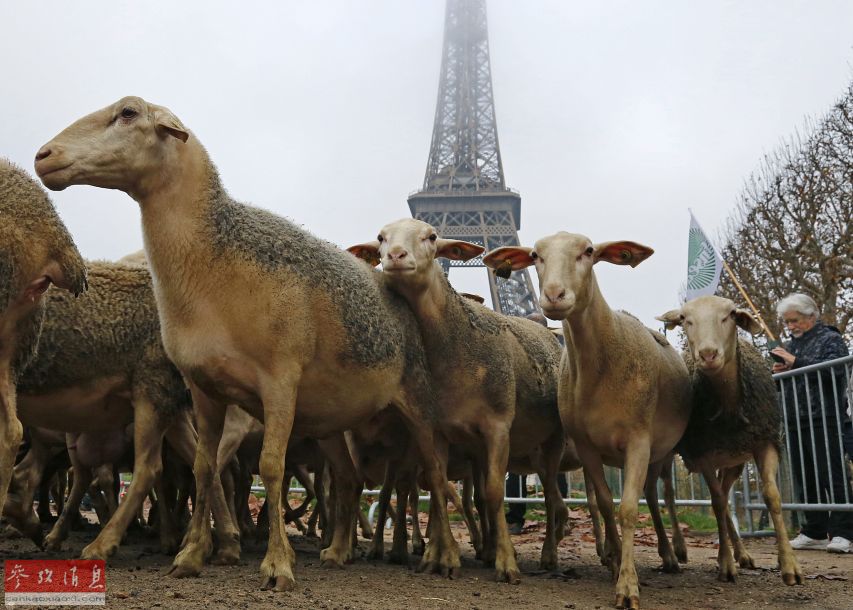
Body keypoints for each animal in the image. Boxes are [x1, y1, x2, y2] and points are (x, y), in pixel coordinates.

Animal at [34, 96, 459, 591]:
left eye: (128, 113)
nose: (44, 156)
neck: (215, 264)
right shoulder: (204, 388)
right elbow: (203, 467)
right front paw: (191, 555)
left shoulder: (280, 382)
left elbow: (272, 466)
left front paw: (277, 564)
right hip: (331, 420)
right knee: (349, 479)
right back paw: (338, 552)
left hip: (417, 404)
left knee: (436, 474)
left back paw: (444, 556)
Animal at [348, 218, 569, 582]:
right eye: (380, 238)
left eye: (432, 236)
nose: (395, 255)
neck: (455, 350)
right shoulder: (436, 431)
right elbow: (439, 487)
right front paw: (442, 557)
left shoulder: (498, 427)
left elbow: (494, 492)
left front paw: (505, 562)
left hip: (551, 442)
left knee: (551, 495)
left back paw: (548, 554)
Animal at [483, 233, 692, 610]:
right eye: (534, 256)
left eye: (589, 252)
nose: (554, 295)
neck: (601, 369)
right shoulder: (587, 448)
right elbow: (607, 505)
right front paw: (616, 561)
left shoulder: (638, 441)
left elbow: (628, 509)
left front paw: (627, 585)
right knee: (625, 500)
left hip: (664, 453)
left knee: (662, 498)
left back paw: (673, 554)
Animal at [656, 295, 803, 585]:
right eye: (685, 319)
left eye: (730, 315)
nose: (708, 354)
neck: (729, 407)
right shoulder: (703, 453)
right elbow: (715, 502)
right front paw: (725, 564)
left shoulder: (765, 442)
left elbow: (771, 496)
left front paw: (789, 564)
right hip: (668, 450)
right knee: (667, 492)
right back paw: (677, 549)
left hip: (733, 460)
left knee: (725, 497)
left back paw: (742, 553)